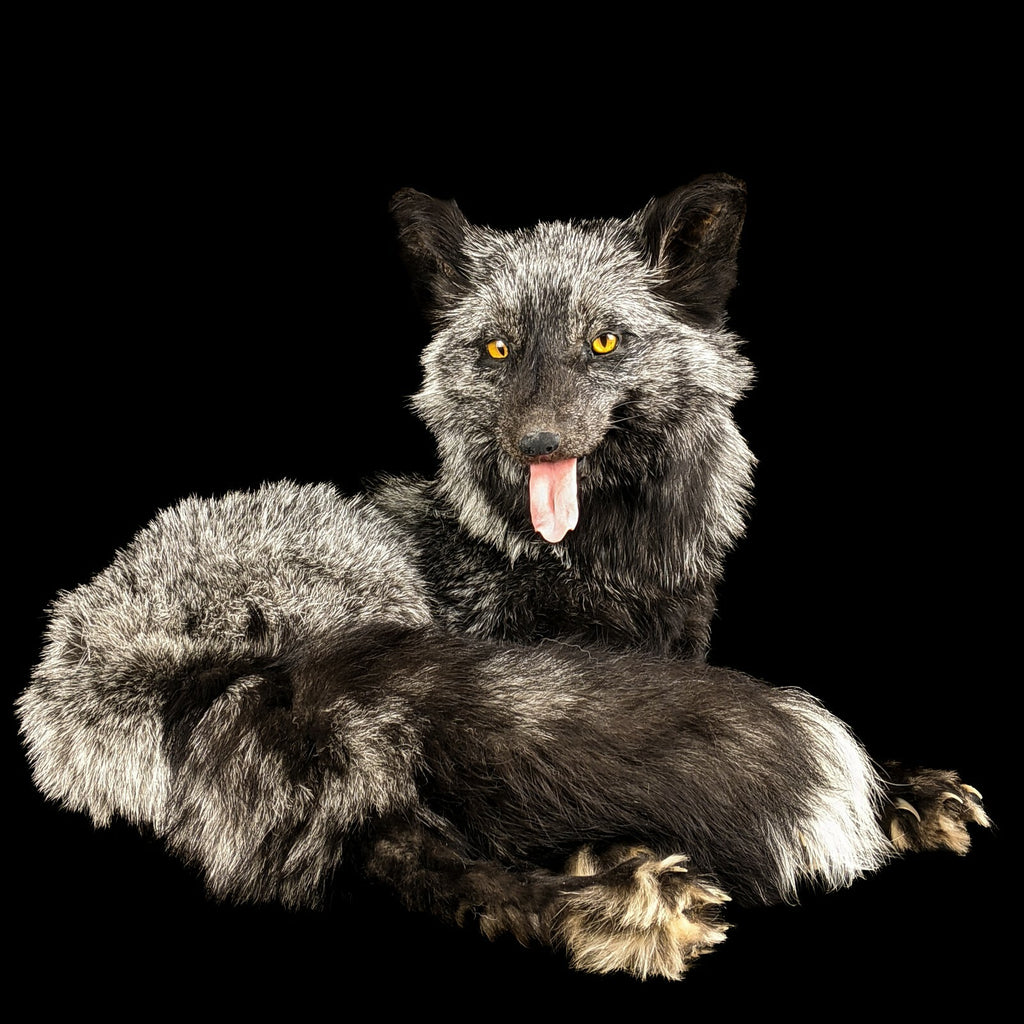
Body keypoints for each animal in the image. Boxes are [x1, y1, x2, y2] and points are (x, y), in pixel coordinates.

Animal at [16, 175, 989, 980]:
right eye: (495, 351)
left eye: (603, 342)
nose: (538, 443)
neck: (597, 573)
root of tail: (101, 642)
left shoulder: (676, 659)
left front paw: (905, 789)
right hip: (360, 661)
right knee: (396, 845)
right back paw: (604, 905)